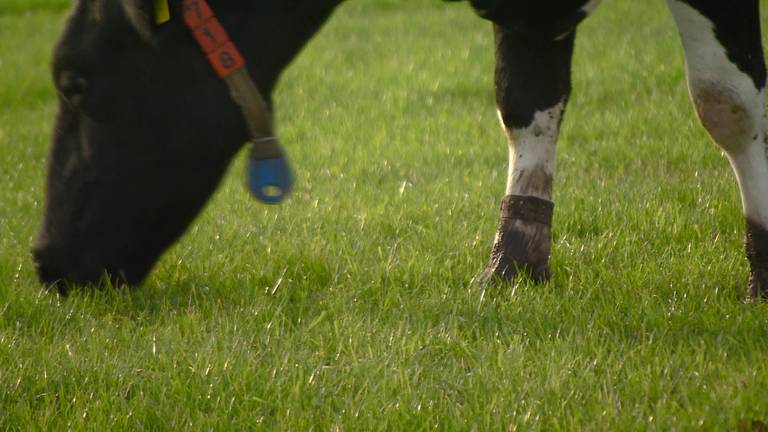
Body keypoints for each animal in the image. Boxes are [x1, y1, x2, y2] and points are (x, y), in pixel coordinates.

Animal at [33, 0, 768, 300]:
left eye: (73, 82)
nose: (44, 260)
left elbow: (724, 102)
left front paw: (761, 276)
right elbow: (524, 97)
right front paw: (511, 267)